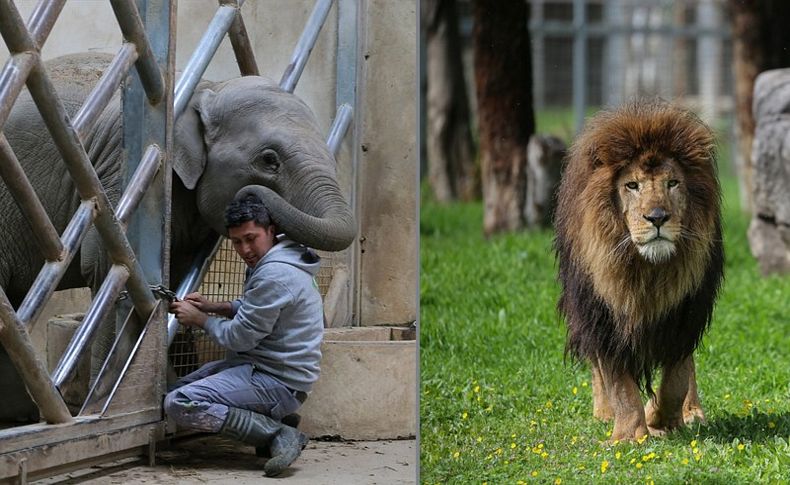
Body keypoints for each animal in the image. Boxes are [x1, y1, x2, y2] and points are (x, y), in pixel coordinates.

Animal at [552, 99, 728, 442]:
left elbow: (677, 378)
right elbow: (618, 383)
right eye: (632, 186)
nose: (657, 217)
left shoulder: (686, 314)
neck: (646, 271)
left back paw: (693, 413)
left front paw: (660, 420)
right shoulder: (603, 316)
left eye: (673, 183)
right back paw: (604, 413)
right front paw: (629, 436)